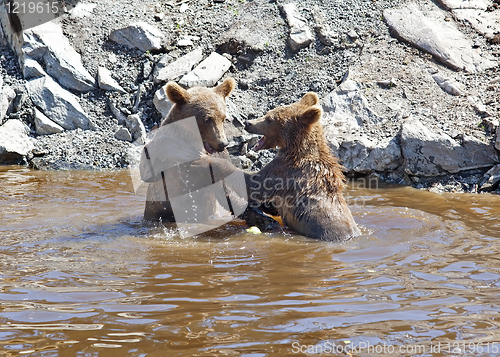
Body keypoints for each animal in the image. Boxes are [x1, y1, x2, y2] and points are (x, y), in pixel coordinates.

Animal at [205, 92, 362, 242]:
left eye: (270, 119)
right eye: (268, 113)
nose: (248, 122)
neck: (295, 148)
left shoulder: (285, 171)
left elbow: (254, 183)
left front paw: (212, 161)